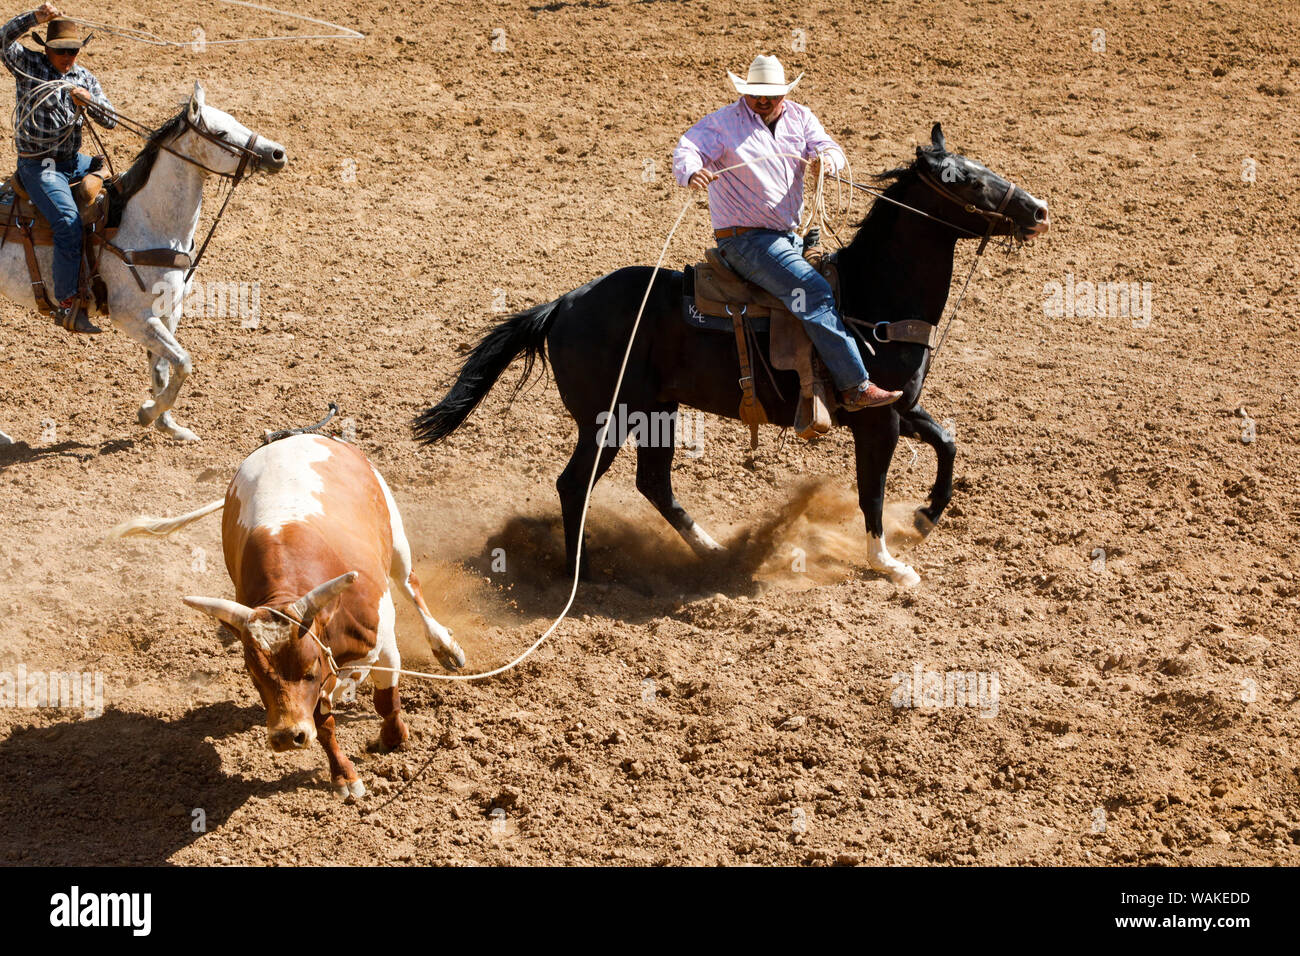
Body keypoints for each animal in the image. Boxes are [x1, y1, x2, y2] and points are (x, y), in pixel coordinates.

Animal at [0, 81, 286, 442]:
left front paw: (170, 425)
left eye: (235, 119)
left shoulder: (168, 311)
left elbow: (164, 366)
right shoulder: (132, 317)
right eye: (220, 131)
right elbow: (184, 362)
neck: (147, 222)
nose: (277, 153)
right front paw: (148, 412)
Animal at [413, 123, 1045, 587]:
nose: (1038, 209)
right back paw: (582, 573)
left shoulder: (897, 407)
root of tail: (564, 304)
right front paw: (888, 563)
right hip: (606, 418)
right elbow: (872, 490)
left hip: (656, 411)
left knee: (654, 484)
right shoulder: (875, 418)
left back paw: (712, 550)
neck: (872, 298)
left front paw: (928, 513)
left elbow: (947, 440)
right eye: (966, 180)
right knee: (575, 486)